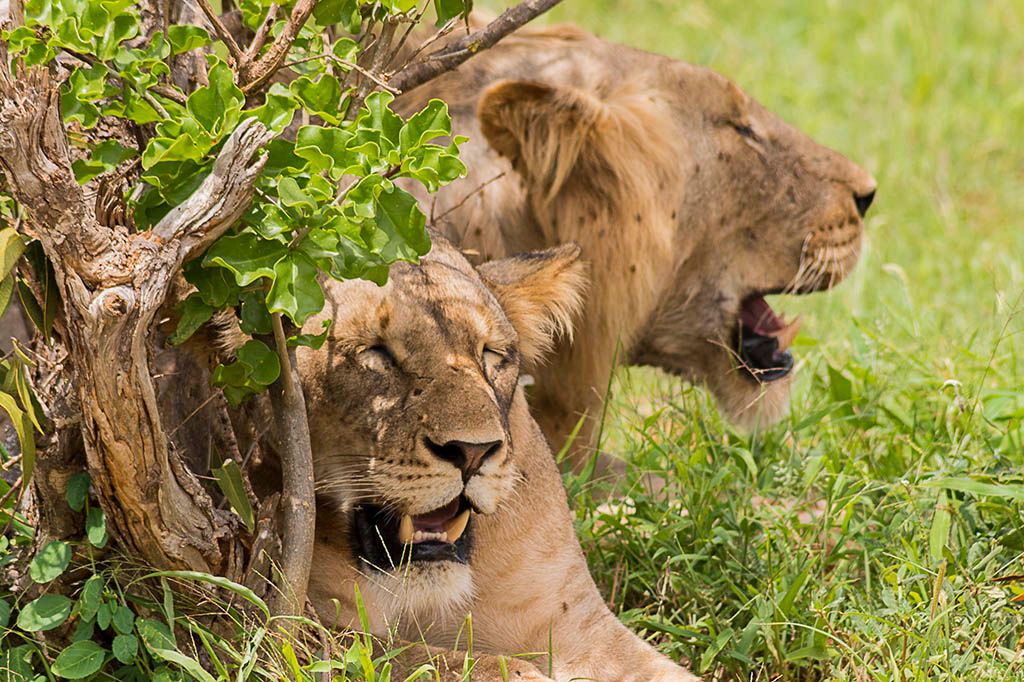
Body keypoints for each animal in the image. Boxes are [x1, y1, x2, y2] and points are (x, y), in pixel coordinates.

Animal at [287, 233, 700, 681]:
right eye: (375, 352)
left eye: (491, 353)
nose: (472, 452)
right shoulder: (311, 629)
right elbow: (454, 663)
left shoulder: (573, 622)